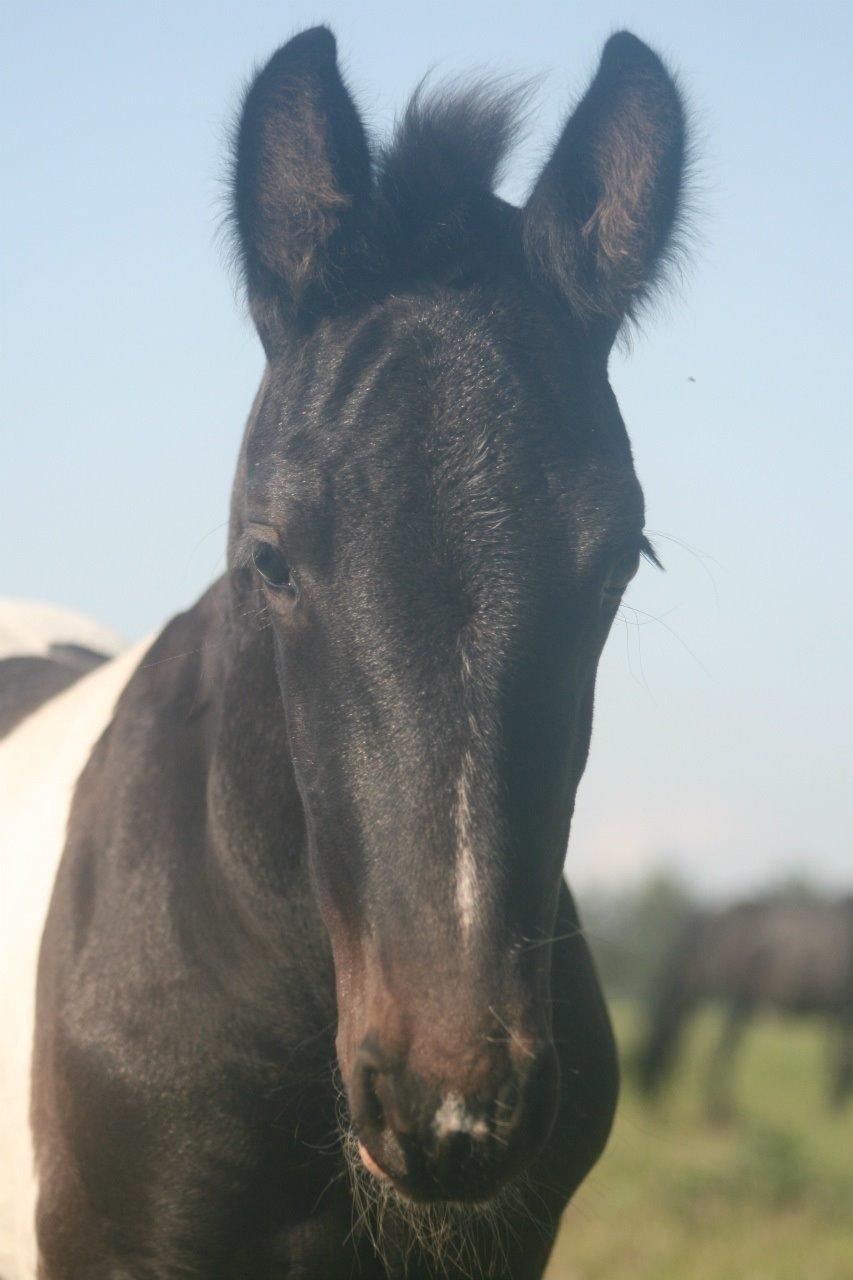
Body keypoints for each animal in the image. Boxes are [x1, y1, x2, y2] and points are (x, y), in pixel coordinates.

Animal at [637, 897, 853, 1119]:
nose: (649, 1098)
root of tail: (712, 920)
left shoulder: (836, 1014)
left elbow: (836, 1058)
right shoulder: (842, 1012)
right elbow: (842, 1059)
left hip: (715, 1001)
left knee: (698, 1046)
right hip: (734, 1004)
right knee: (717, 1054)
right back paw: (720, 1108)